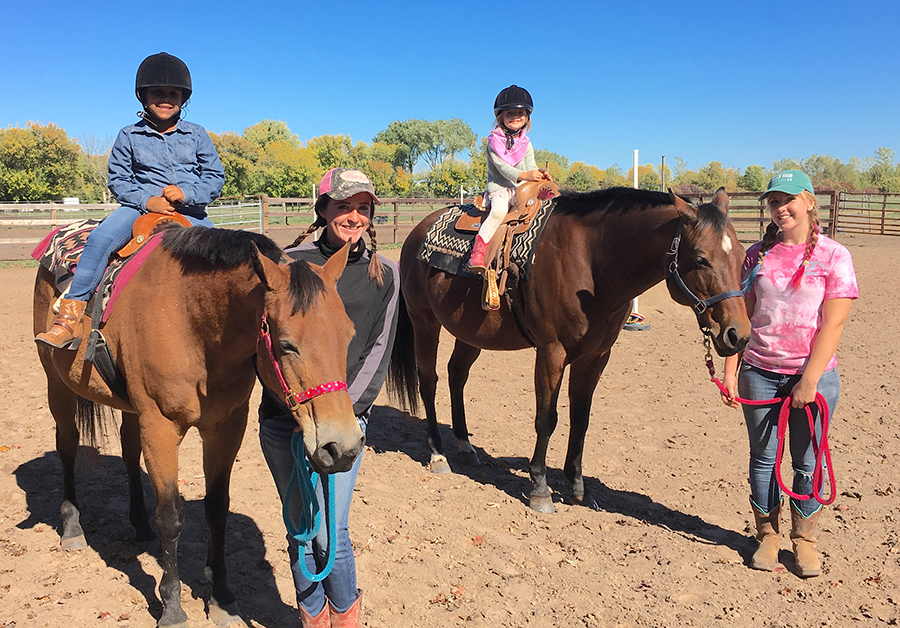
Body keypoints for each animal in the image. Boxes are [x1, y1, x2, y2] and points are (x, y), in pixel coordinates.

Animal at [31, 227, 362, 628]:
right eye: (286, 344)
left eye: (348, 335)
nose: (342, 447)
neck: (191, 320)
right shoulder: (160, 426)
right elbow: (171, 517)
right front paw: (172, 608)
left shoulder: (226, 426)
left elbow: (216, 508)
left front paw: (221, 599)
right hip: (56, 383)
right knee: (67, 445)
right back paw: (72, 527)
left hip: (130, 409)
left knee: (128, 453)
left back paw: (139, 525)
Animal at [394, 186, 752, 516]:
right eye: (702, 259)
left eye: (740, 255)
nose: (738, 335)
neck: (591, 261)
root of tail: (415, 233)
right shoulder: (551, 352)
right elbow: (546, 419)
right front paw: (540, 489)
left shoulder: (596, 356)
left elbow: (580, 419)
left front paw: (578, 489)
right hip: (425, 322)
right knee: (429, 381)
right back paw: (438, 453)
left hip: (470, 333)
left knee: (456, 375)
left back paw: (465, 445)